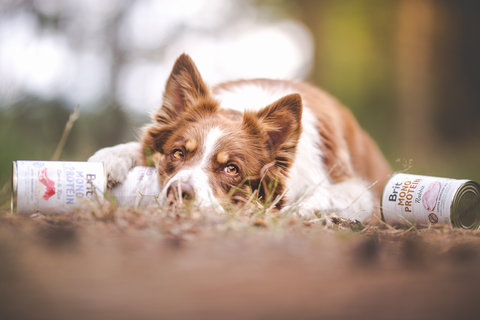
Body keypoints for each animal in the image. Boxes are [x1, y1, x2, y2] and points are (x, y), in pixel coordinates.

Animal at [89, 53, 390, 222]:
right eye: (178, 153)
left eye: (231, 169)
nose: (179, 192)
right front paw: (108, 159)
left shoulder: (359, 189)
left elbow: (326, 193)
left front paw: (301, 209)